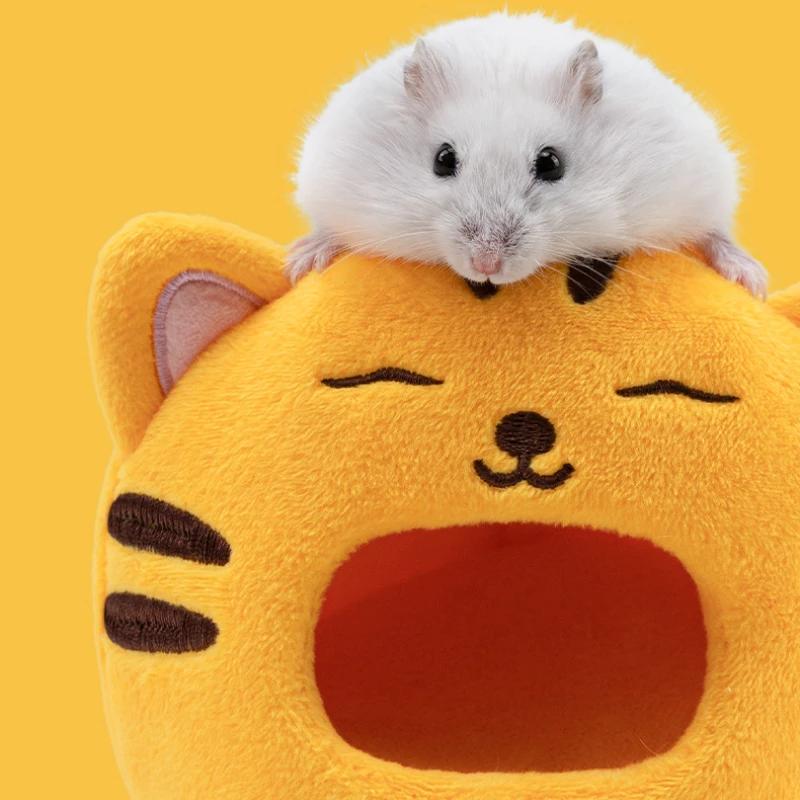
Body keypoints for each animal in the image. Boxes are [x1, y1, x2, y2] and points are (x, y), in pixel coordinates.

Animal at [287, 12, 767, 297]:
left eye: (551, 163)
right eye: (443, 160)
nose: (486, 265)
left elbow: (714, 230)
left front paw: (753, 283)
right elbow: (328, 227)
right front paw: (301, 265)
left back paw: (749, 277)